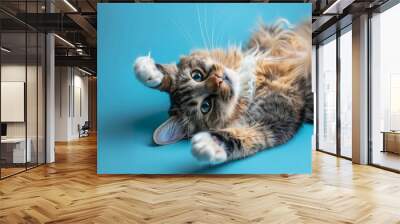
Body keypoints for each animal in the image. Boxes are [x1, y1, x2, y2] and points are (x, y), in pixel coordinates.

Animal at [134, 20, 312, 163]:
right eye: (206, 106)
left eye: (197, 76)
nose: (219, 80)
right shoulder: (279, 117)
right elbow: (250, 134)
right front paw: (211, 144)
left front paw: (148, 71)